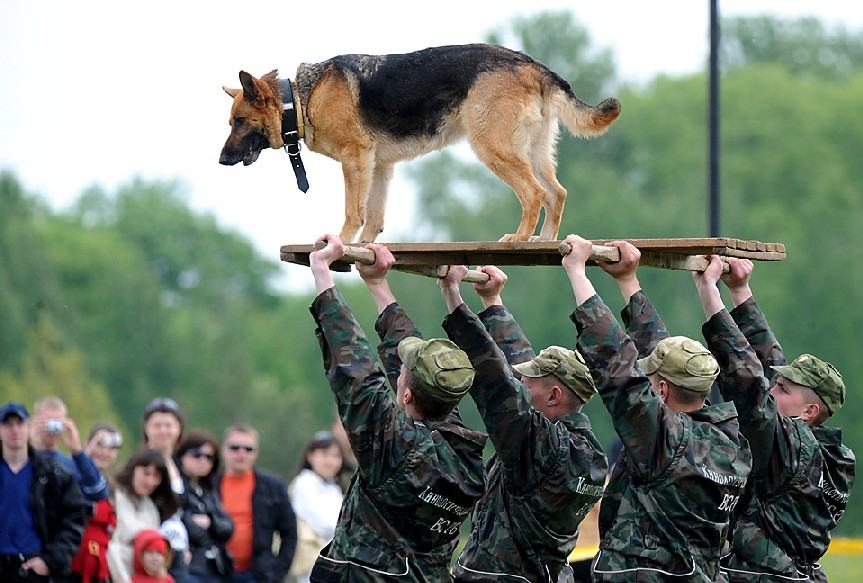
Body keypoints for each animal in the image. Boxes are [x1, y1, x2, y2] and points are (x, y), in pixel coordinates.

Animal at [218, 43, 620, 243]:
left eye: (239, 121)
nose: (221, 160)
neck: (300, 99)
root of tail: (532, 65)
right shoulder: (379, 167)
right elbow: (374, 217)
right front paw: (363, 248)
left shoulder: (355, 160)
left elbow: (353, 212)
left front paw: (342, 242)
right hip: (532, 150)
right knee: (556, 193)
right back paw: (544, 240)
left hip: (494, 149)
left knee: (534, 193)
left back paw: (520, 238)